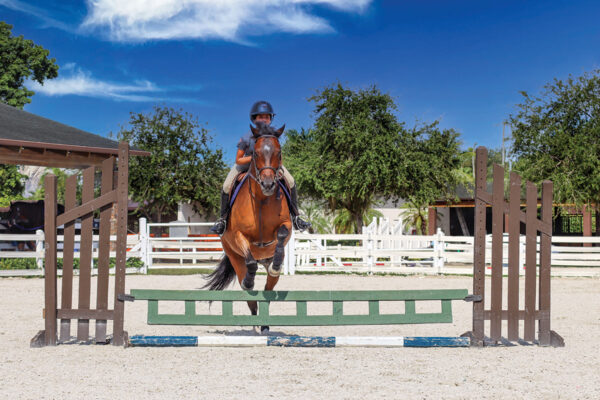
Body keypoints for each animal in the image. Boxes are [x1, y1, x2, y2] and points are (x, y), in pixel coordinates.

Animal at [204, 122, 292, 334]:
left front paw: (277, 263)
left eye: (279, 152)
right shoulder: (238, 235)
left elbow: (282, 234)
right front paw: (250, 279)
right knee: (249, 289)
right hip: (234, 257)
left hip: (267, 265)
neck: (261, 200)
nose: (268, 184)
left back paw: (265, 324)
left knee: (268, 290)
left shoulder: (286, 225)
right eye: (256, 153)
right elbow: (250, 261)